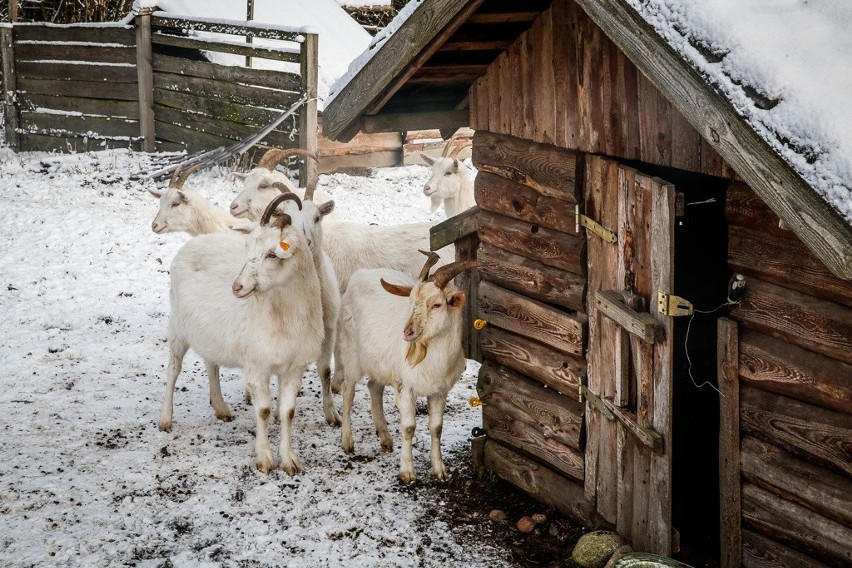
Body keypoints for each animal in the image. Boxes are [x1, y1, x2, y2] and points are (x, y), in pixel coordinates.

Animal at [158, 193, 322, 472]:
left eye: (272, 254)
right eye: (247, 248)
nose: (237, 287)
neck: (284, 314)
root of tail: (196, 241)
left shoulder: (295, 367)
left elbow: (288, 411)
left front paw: (289, 460)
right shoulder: (257, 366)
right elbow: (264, 410)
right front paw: (265, 459)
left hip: (209, 333)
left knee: (211, 364)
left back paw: (221, 408)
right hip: (178, 327)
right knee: (173, 369)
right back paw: (165, 419)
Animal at [334, 253, 480, 484]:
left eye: (437, 304)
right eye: (411, 301)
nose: (408, 332)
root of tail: (360, 273)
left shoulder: (439, 391)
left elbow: (436, 428)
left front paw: (439, 470)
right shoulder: (406, 388)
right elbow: (409, 427)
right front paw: (407, 472)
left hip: (380, 362)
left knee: (374, 387)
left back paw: (385, 438)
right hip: (351, 355)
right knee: (348, 391)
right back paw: (347, 442)